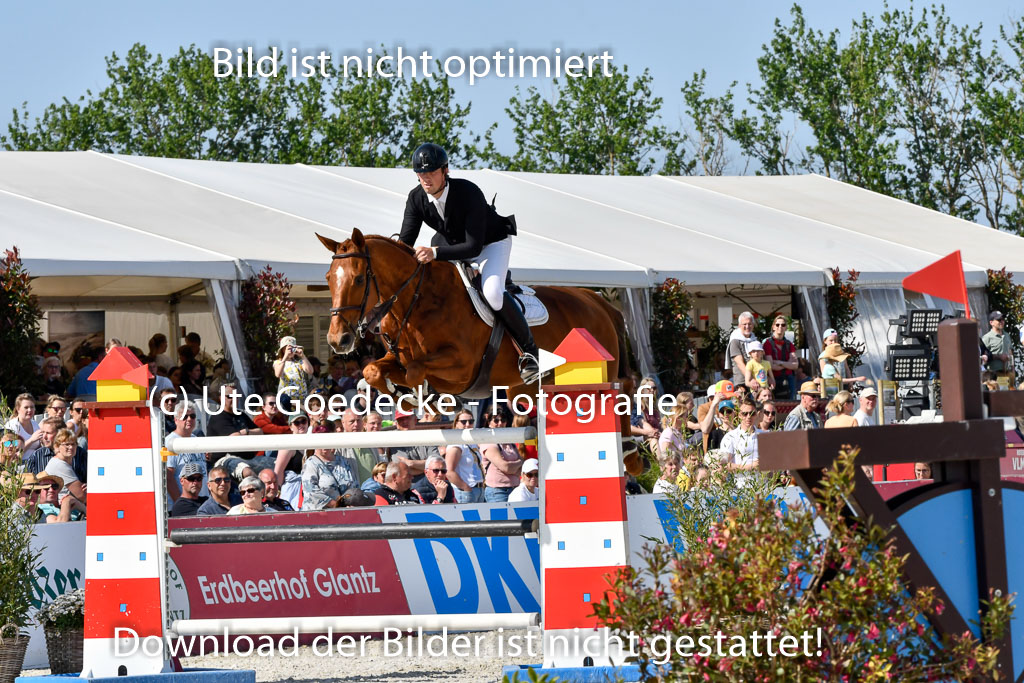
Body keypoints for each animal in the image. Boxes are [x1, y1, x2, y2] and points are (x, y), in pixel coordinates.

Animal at [317, 231, 630, 395]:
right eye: (328, 278)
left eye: (359, 279)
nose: (337, 340)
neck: (417, 302)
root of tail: (598, 302)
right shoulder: (396, 357)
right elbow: (371, 370)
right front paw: (398, 394)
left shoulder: (462, 366)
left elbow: (417, 371)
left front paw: (416, 396)